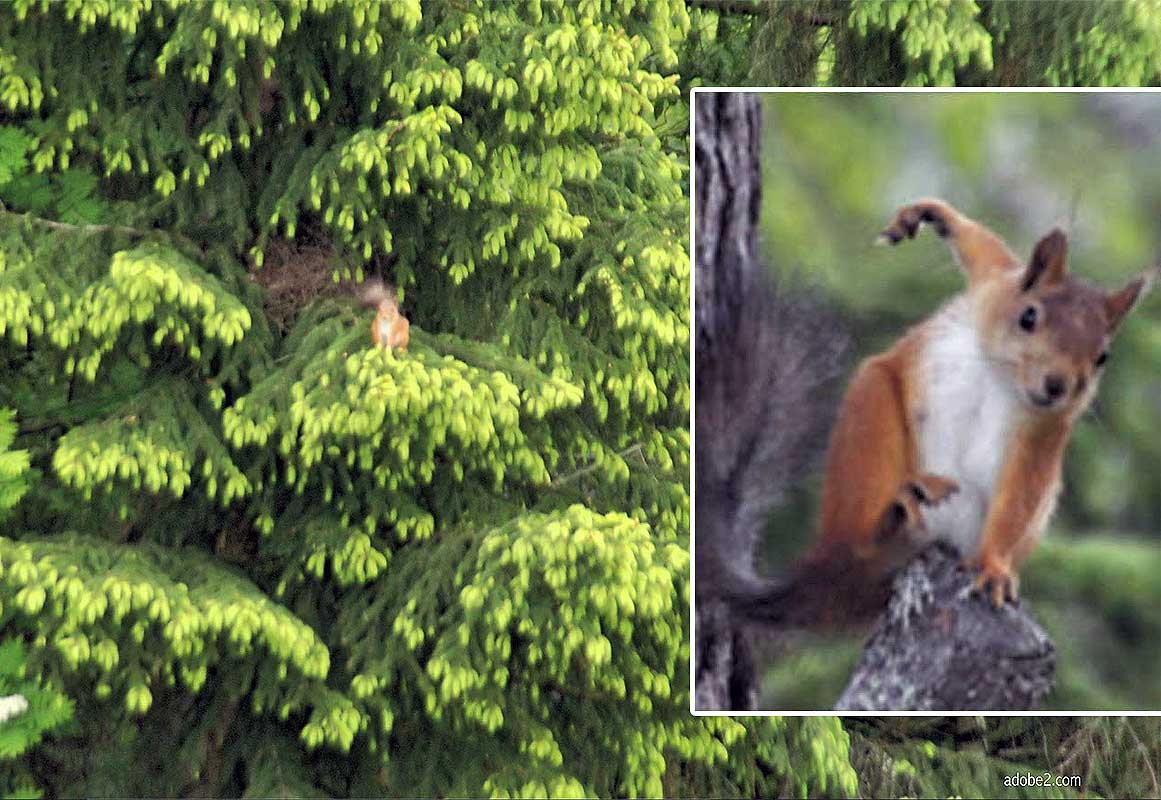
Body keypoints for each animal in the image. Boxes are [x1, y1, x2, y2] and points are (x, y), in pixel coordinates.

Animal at [715, 196, 1151, 626]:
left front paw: (994, 567)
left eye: (1103, 357)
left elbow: (1016, 502)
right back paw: (886, 519)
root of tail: (827, 576)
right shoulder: (994, 279)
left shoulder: (1042, 437)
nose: (1057, 385)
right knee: (857, 535)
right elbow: (981, 242)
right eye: (1029, 316)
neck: (1000, 377)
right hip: (868, 415)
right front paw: (930, 214)